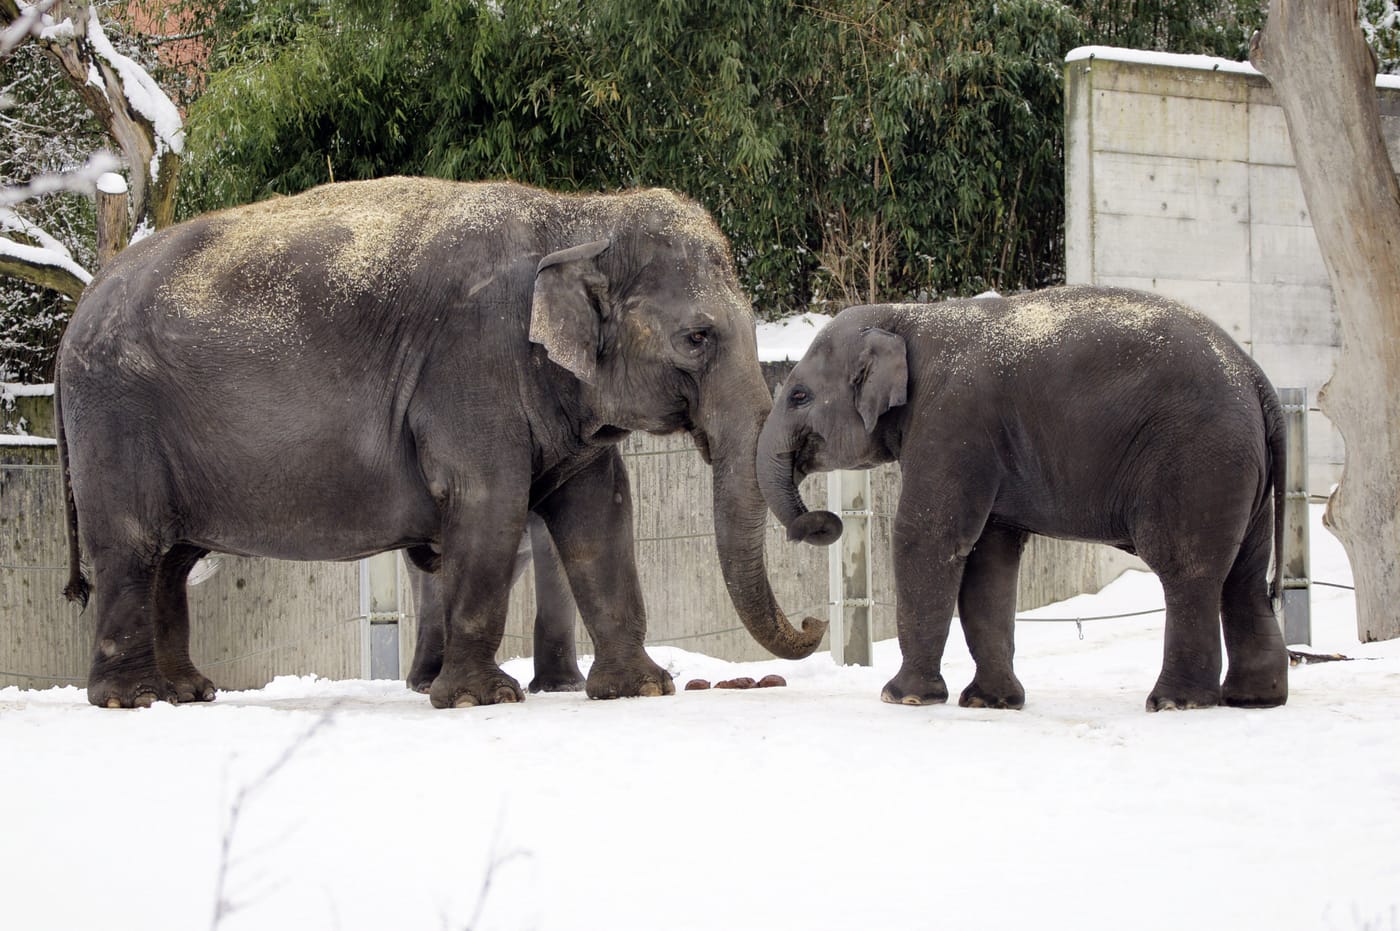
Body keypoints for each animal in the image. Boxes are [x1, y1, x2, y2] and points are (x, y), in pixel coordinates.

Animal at [757, 285, 1289, 712]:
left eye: (799, 396)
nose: (822, 522)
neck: (909, 315)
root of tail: (1258, 378)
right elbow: (990, 559)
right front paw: (990, 703)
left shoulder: (952, 419)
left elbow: (926, 536)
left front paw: (902, 697)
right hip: (1239, 470)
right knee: (1244, 575)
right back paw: (1254, 700)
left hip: (1198, 459)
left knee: (1186, 569)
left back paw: (1176, 703)